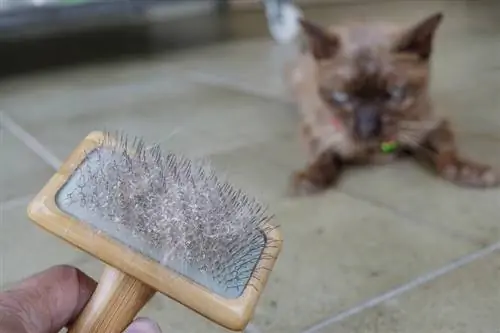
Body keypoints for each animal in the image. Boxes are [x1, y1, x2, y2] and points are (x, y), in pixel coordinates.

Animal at [286, 12, 500, 195]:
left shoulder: (432, 126)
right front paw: (310, 177)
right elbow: (322, 154)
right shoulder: (313, 130)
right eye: (341, 97)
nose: (367, 130)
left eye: (395, 93)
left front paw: (466, 171)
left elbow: (447, 153)